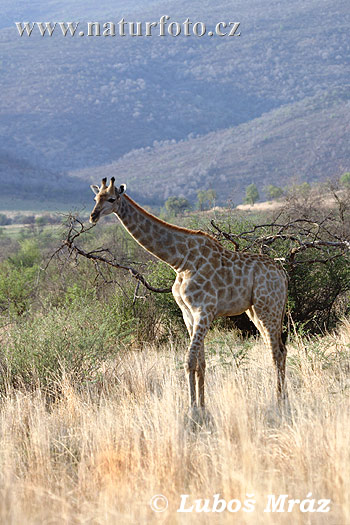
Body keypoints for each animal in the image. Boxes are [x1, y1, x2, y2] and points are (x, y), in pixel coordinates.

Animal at [89, 178, 288, 412]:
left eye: (111, 199)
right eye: (95, 198)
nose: (93, 216)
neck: (180, 261)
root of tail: (282, 273)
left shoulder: (205, 310)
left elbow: (190, 361)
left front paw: (192, 409)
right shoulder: (188, 314)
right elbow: (200, 363)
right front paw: (201, 406)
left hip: (268, 307)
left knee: (276, 352)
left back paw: (279, 402)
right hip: (255, 310)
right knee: (279, 349)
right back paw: (283, 398)